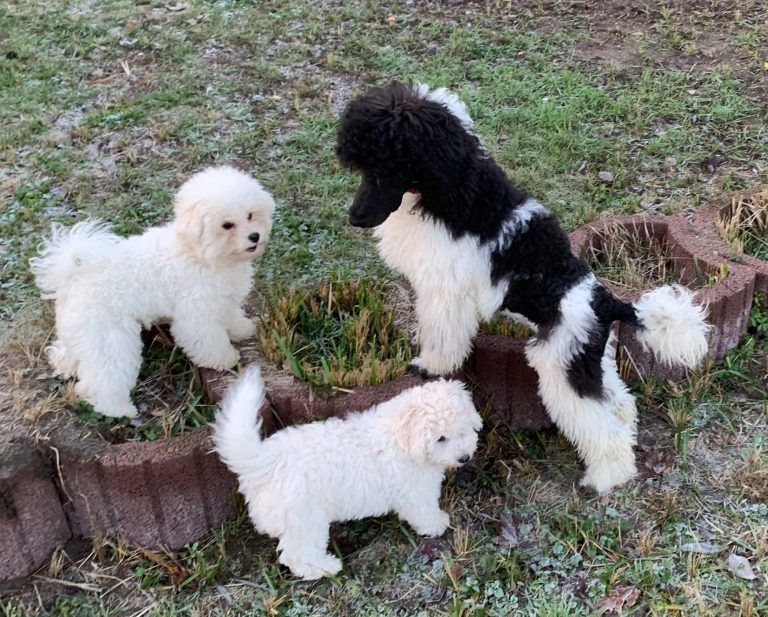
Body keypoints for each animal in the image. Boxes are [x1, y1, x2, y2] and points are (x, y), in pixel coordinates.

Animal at [30, 167, 276, 418]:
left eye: (250, 215)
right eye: (227, 225)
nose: (255, 236)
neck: (199, 252)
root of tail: (74, 277)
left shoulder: (222, 298)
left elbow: (231, 316)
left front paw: (242, 329)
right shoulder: (196, 313)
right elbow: (207, 339)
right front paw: (223, 358)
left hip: (85, 334)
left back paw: (64, 365)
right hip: (110, 339)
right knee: (101, 380)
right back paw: (119, 409)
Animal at [212, 364, 480, 580]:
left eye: (463, 430)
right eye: (440, 438)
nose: (464, 458)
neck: (402, 437)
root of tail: (263, 461)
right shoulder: (415, 493)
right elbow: (424, 511)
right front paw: (437, 523)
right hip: (306, 520)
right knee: (297, 555)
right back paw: (325, 567)